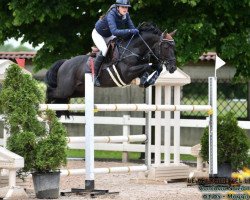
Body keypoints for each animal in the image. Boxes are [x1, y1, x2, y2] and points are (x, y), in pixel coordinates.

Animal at [46, 22, 177, 116]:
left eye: (173, 46)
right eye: (166, 46)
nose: (173, 68)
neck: (134, 49)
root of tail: (65, 62)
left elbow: (156, 67)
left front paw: (147, 80)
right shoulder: (126, 73)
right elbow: (147, 67)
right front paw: (145, 80)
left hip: (78, 91)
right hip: (65, 89)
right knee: (51, 92)